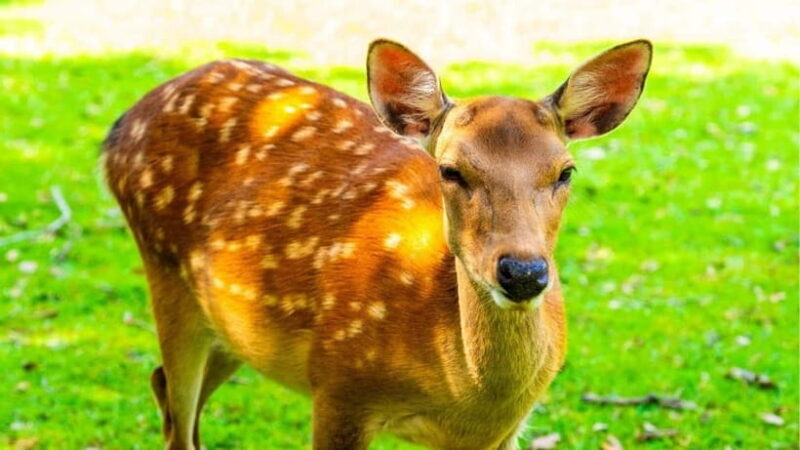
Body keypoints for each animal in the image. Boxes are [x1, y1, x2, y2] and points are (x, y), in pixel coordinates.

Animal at [102, 38, 652, 449]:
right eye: (450, 170)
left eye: (565, 170)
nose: (523, 273)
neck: (467, 398)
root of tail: (119, 127)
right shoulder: (339, 388)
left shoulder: (502, 434)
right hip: (164, 272)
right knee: (176, 415)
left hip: (232, 320)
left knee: (164, 390)